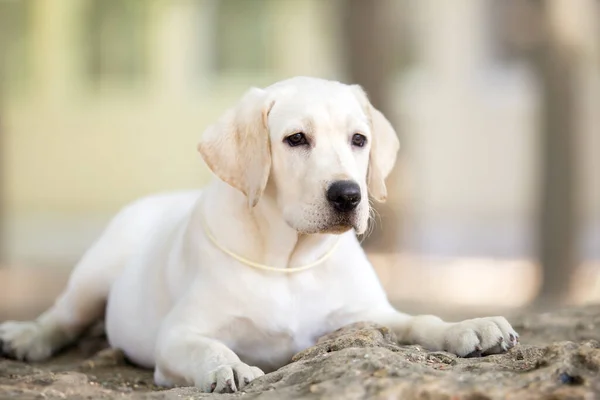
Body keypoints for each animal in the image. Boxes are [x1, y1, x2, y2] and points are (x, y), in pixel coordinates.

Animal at [0, 76, 516, 392]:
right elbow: (207, 344)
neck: (288, 260)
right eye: (296, 139)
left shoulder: (367, 316)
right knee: (62, 315)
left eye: (359, 140)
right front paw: (226, 364)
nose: (348, 194)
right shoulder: (179, 334)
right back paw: (26, 337)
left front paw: (469, 326)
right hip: (95, 272)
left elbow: (420, 320)